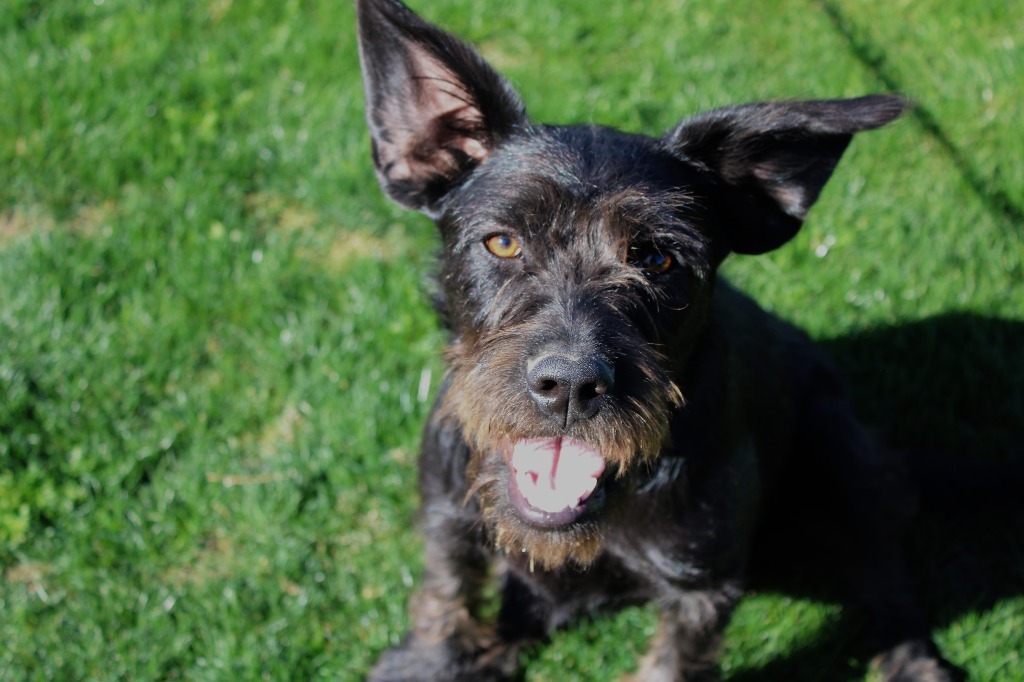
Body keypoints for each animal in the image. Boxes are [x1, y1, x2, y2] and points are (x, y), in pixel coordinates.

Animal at [354, 2, 958, 675]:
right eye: (503, 242)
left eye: (658, 257)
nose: (569, 386)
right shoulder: (447, 510)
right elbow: (448, 583)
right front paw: (432, 659)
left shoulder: (702, 584)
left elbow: (676, 658)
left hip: (846, 452)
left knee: (884, 560)